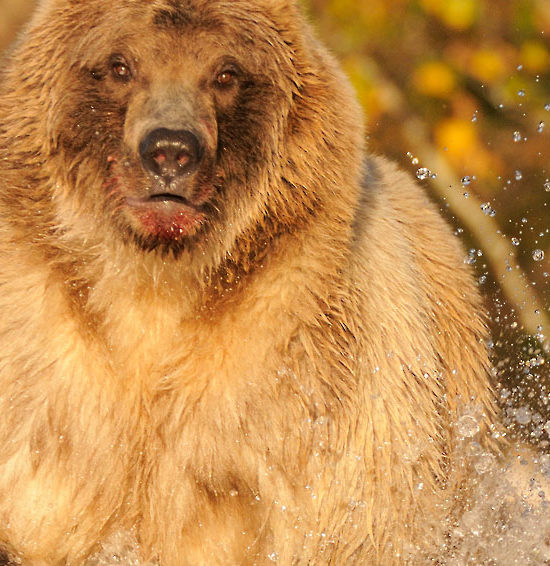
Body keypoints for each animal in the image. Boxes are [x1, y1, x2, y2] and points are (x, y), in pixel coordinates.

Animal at [0, 1, 502, 566]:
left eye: (226, 73)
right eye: (120, 65)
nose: (170, 150)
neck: (157, 283)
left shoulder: (308, 376)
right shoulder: (45, 375)